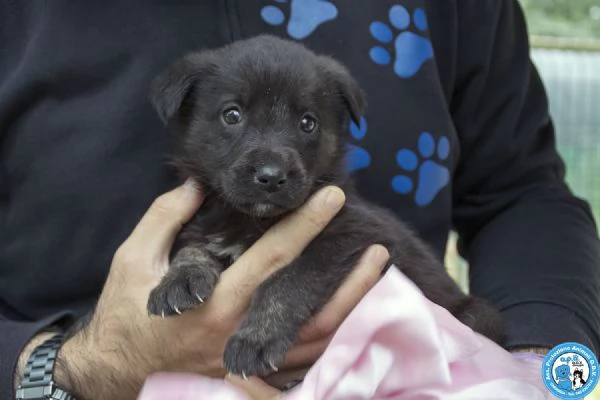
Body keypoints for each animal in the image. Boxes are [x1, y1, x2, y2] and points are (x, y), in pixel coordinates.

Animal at [148, 35, 504, 378]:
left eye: (308, 123)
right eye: (231, 115)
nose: (271, 176)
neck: (251, 220)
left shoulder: (352, 234)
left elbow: (286, 280)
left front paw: (257, 338)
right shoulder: (205, 224)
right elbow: (192, 248)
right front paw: (179, 279)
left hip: (476, 315)